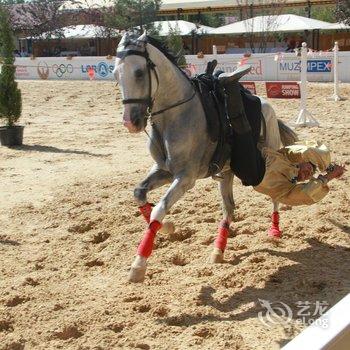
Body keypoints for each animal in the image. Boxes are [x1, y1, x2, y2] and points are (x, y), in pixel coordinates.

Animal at [113, 32, 296, 284]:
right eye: (115, 74)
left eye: (139, 72)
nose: (131, 122)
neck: (177, 115)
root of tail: (267, 106)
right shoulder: (164, 171)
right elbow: (139, 194)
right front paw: (168, 227)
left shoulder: (186, 178)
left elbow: (159, 208)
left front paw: (138, 266)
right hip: (227, 173)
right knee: (229, 208)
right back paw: (218, 250)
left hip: (265, 165)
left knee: (275, 194)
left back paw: (275, 230)